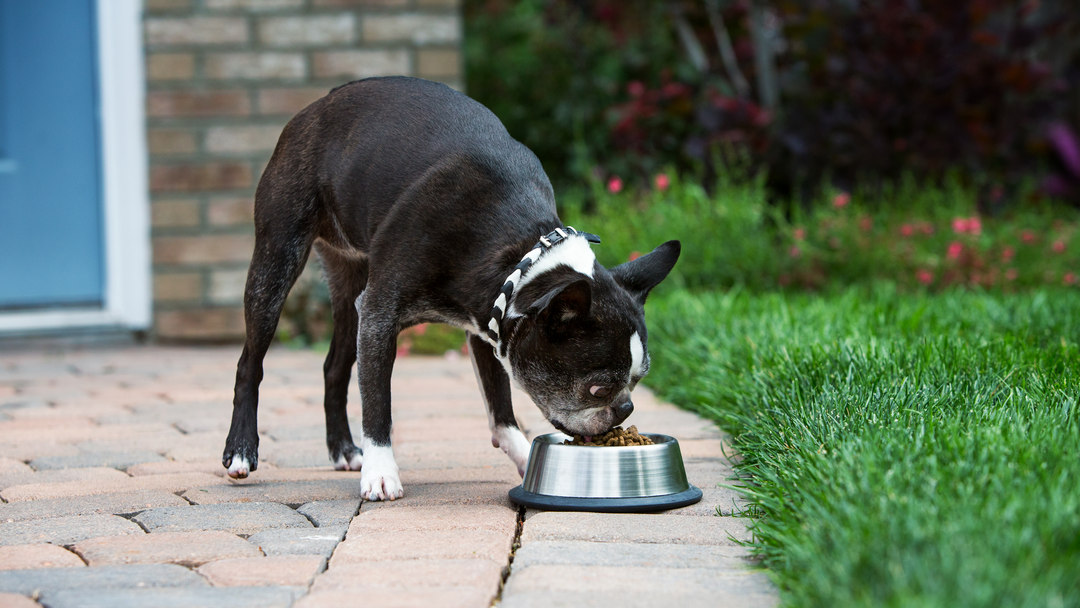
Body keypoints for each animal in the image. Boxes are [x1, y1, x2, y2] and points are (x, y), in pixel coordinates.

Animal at [222, 76, 678, 501]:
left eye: (639, 380)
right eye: (597, 388)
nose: (625, 408)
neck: (519, 249)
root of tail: (321, 102)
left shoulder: (489, 321)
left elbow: (500, 406)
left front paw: (522, 455)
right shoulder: (381, 314)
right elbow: (378, 402)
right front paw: (381, 471)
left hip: (350, 292)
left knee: (334, 367)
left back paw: (343, 450)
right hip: (278, 261)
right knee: (250, 362)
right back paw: (242, 450)